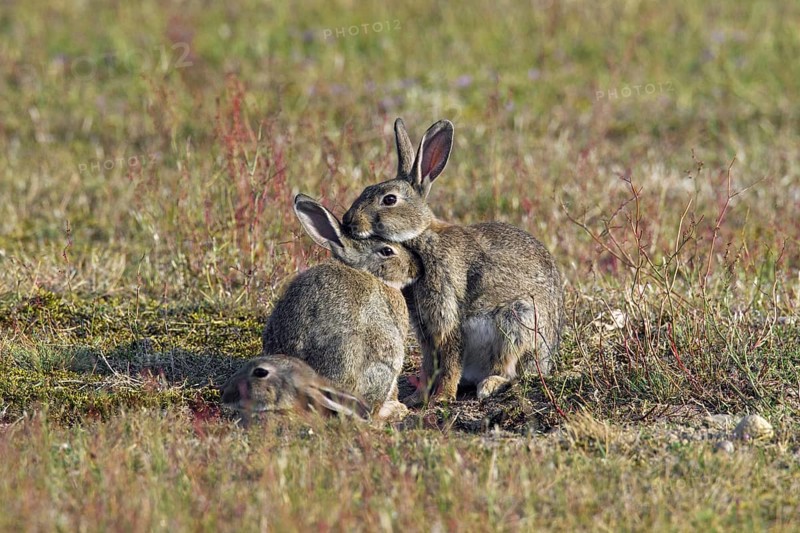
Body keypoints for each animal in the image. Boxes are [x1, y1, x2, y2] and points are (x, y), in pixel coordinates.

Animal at [342, 118, 564, 406]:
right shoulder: (424, 327)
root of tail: (547, 358)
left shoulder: (446, 308)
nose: (347, 221)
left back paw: (489, 384)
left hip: (518, 319)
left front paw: (442, 398)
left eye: (389, 199)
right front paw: (417, 398)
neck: (421, 236)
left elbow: (449, 358)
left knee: (512, 369)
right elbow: (429, 363)